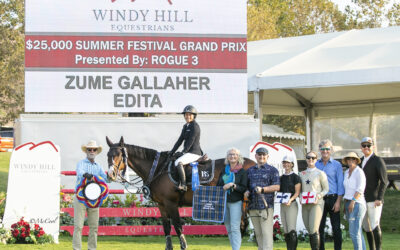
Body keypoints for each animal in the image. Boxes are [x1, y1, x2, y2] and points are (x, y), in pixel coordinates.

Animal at [105, 137, 256, 250]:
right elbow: (166, 227)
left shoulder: (171, 204)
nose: (111, 175)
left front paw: (184, 245)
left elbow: (177, 226)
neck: (158, 168)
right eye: (108, 155)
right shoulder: (161, 205)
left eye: (118, 155)